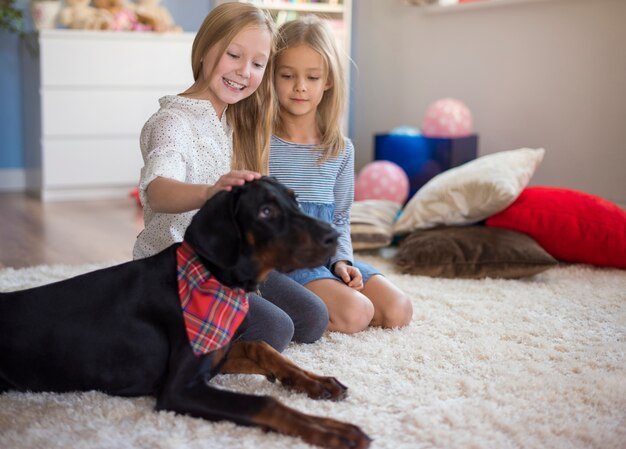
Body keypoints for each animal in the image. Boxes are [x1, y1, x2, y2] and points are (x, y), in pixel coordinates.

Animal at [0, 178, 370, 448]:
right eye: (266, 211)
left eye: (294, 201)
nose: (334, 236)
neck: (215, 277)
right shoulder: (179, 389)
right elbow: (266, 403)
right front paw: (333, 431)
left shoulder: (217, 352)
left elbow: (262, 347)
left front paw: (316, 381)